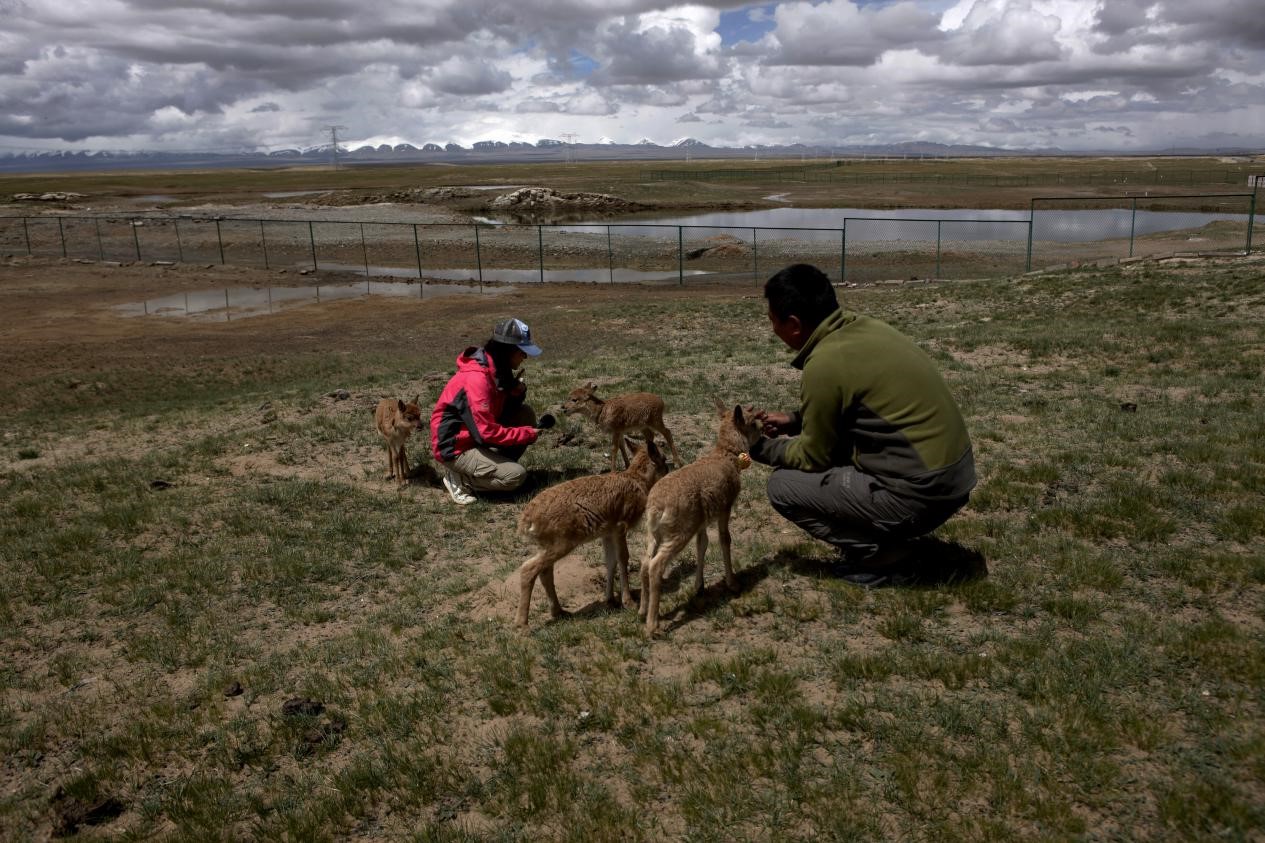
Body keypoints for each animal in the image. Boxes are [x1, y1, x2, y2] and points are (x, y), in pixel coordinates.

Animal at [513, 435, 672, 627]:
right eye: (664, 458)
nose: (668, 471)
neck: (637, 482)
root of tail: (526, 519)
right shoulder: (620, 527)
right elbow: (623, 558)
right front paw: (629, 602)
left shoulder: (607, 532)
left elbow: (610, 561)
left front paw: (610, 599)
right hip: (561, 543)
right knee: (528, 569)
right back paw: (522, 623)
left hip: (549, 546)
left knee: (544, 572)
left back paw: (560, 612)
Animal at [642, 397, 759, 632]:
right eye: (752, 422)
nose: (762, 431)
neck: (726, 456)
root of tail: (656, 506)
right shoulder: (725, 507)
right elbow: (724, 540)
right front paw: (733, 583)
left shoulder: (702, 522)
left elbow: (702, 545)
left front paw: (699, 586)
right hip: (679, 531)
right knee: (656, 565)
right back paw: (652, 625)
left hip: (654, 533)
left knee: (644, 562)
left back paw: (641, 611)